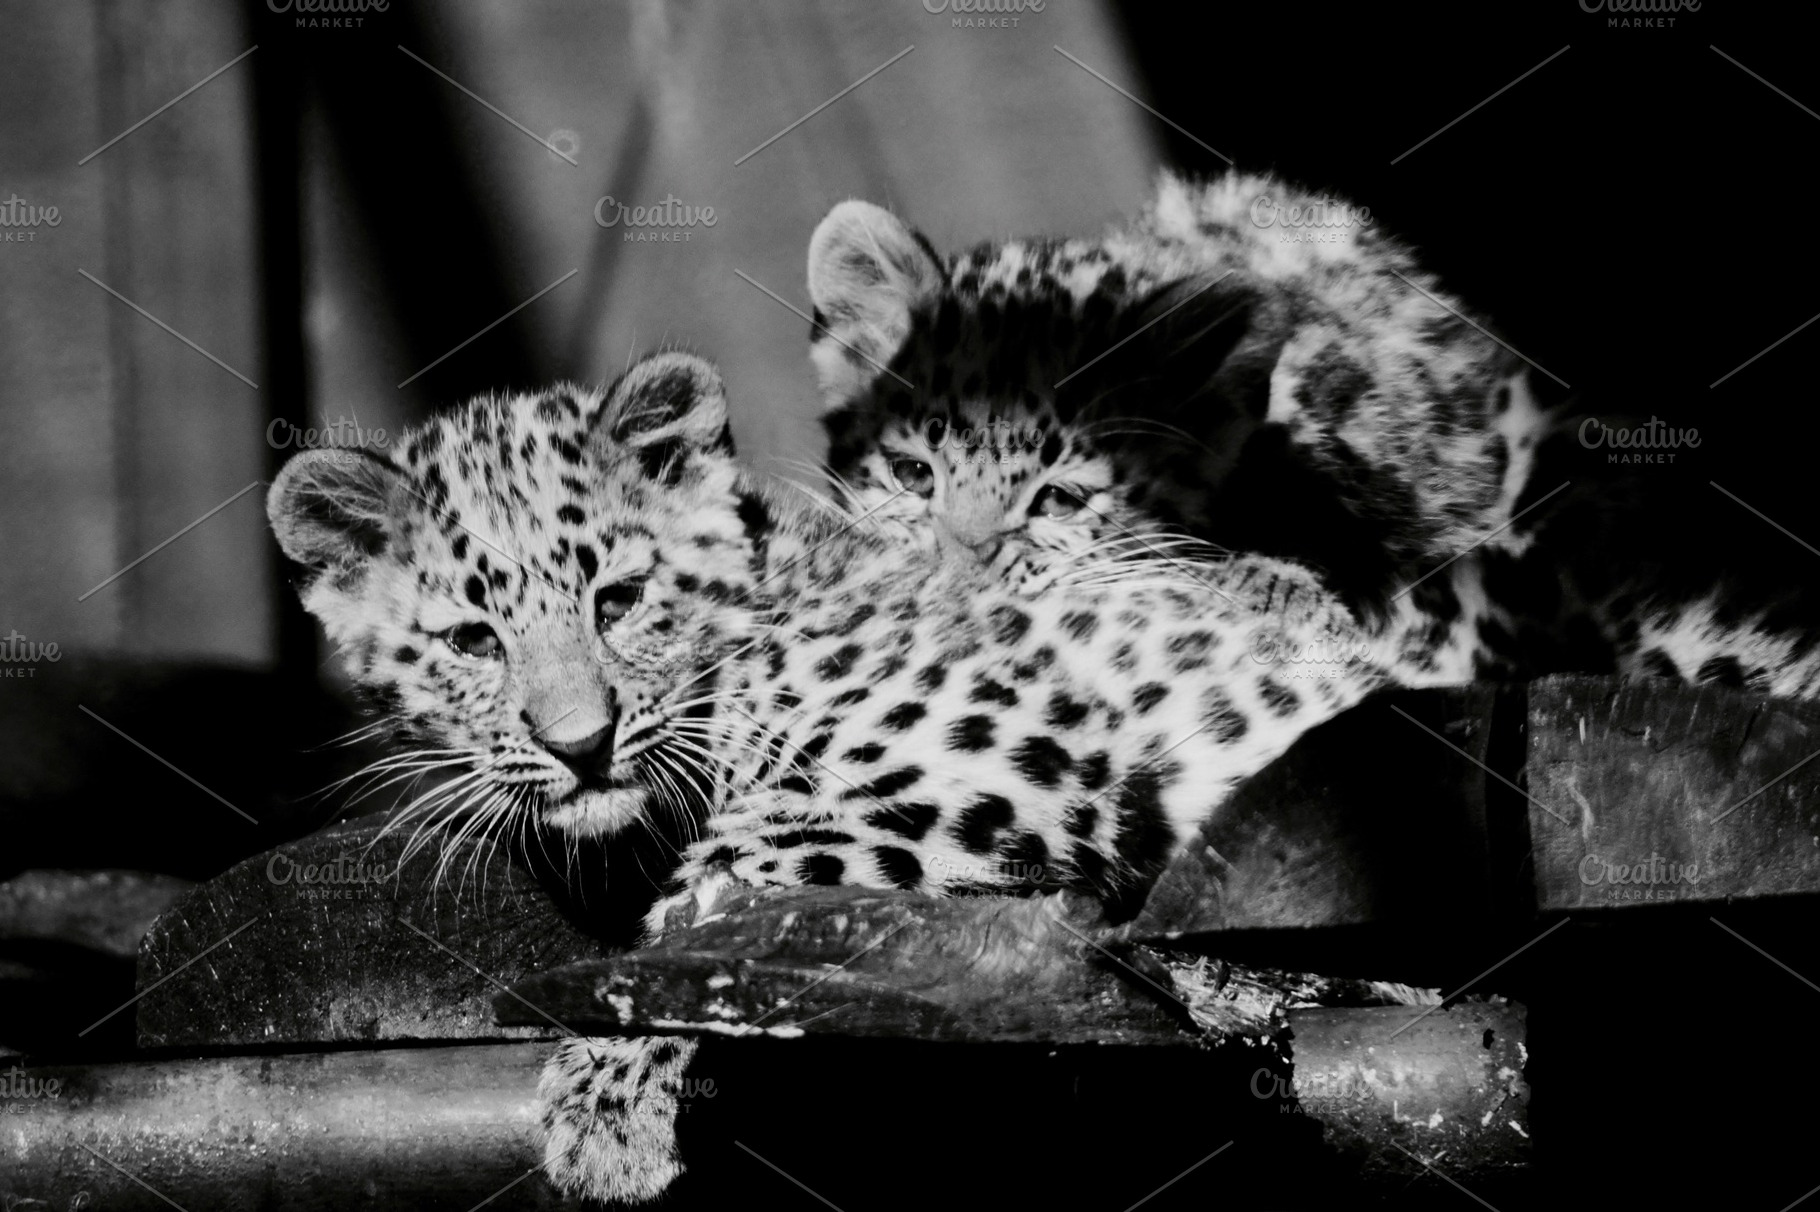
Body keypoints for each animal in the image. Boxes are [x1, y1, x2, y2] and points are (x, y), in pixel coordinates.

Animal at [268, 350, 1457, 1204]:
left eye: (618, 602)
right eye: (474, 642)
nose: (580, 743)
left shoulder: (998, 754)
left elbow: (726, 907)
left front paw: (610, 1093)